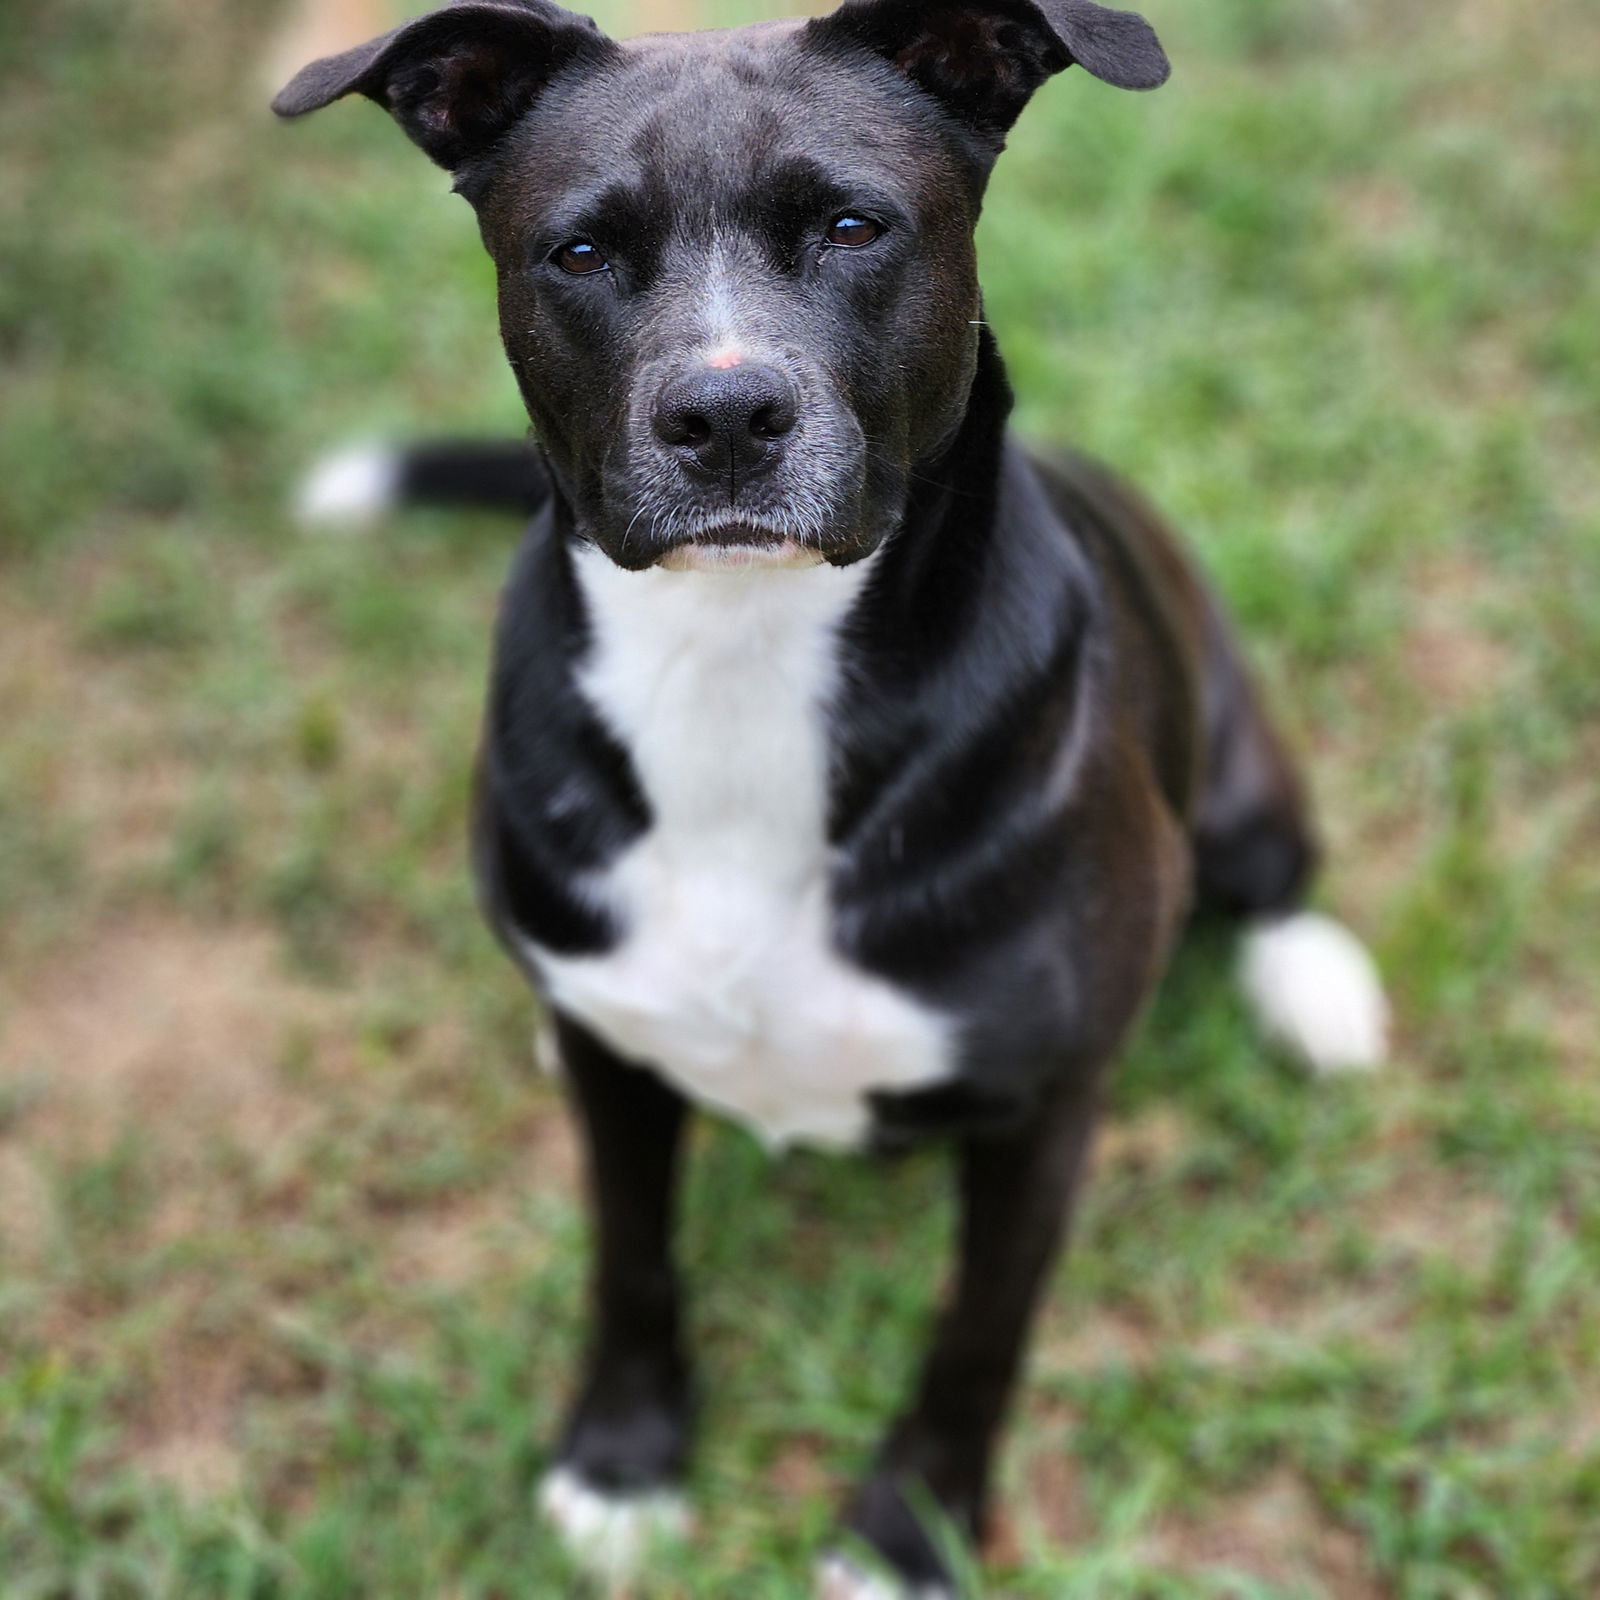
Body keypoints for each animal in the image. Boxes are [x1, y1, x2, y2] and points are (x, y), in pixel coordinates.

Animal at [275, 6, 1388, 1593]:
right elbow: (630, 1257)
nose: (727, 413)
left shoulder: (1042, 1109)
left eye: (856, 225)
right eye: (580, 251)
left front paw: (910, 1531)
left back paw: (1315, 989)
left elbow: (978, 1334)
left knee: (1271, 873)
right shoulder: (620, 1085)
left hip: (1232, 769)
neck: (743, 657)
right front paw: (624, 1463)